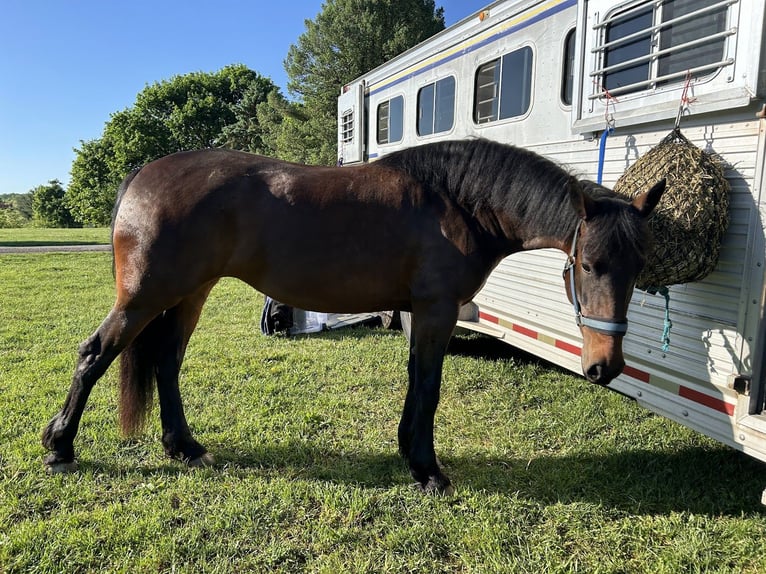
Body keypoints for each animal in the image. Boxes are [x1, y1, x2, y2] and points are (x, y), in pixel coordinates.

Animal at [42, 139, 665, 494]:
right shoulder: (436, 311)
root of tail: (144, 175)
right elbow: (429, 386)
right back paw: (60, 448)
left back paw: (185, 447)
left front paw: (410, 455)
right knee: (95, 355)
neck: (457, 203)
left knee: (167, 364)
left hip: (189, 293)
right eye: (588, 264)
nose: (606, 367)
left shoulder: (423, 313)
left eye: (640, 266)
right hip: (145, 297)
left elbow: (417, 383)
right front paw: (428, 470)